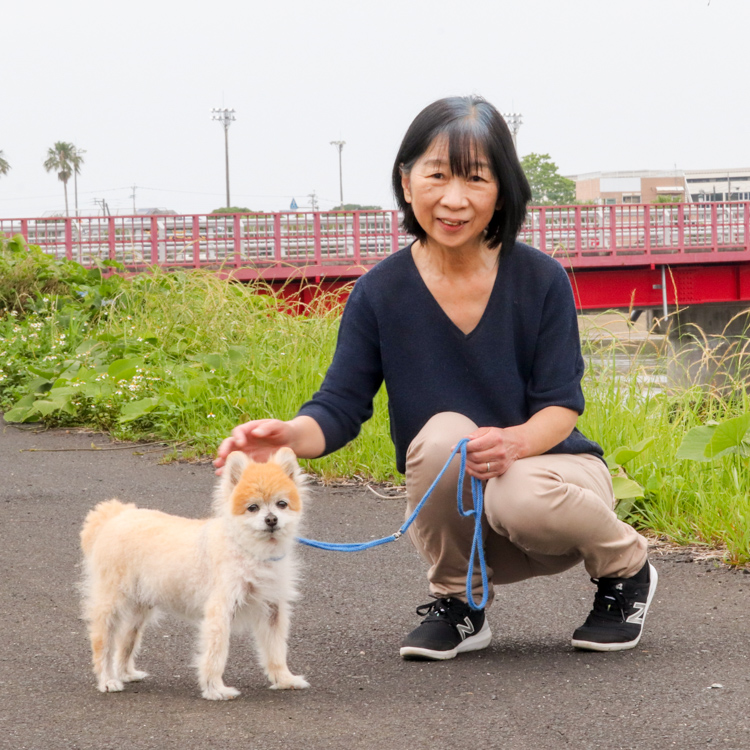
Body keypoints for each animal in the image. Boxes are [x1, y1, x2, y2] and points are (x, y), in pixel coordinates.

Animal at [83, 450, 314, 704]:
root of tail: (115, 516)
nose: (271, 519)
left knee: (126, 640)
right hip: (112, 604)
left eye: (281, 504)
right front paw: (215, 689)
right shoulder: (220, 610)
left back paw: (126, 673)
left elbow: (276, 650)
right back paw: (108, 680)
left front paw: (284, 679)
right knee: (103, 642)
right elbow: (216, 654)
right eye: (253, 507)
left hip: (139, 608)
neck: (248, 550)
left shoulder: (272, 610)